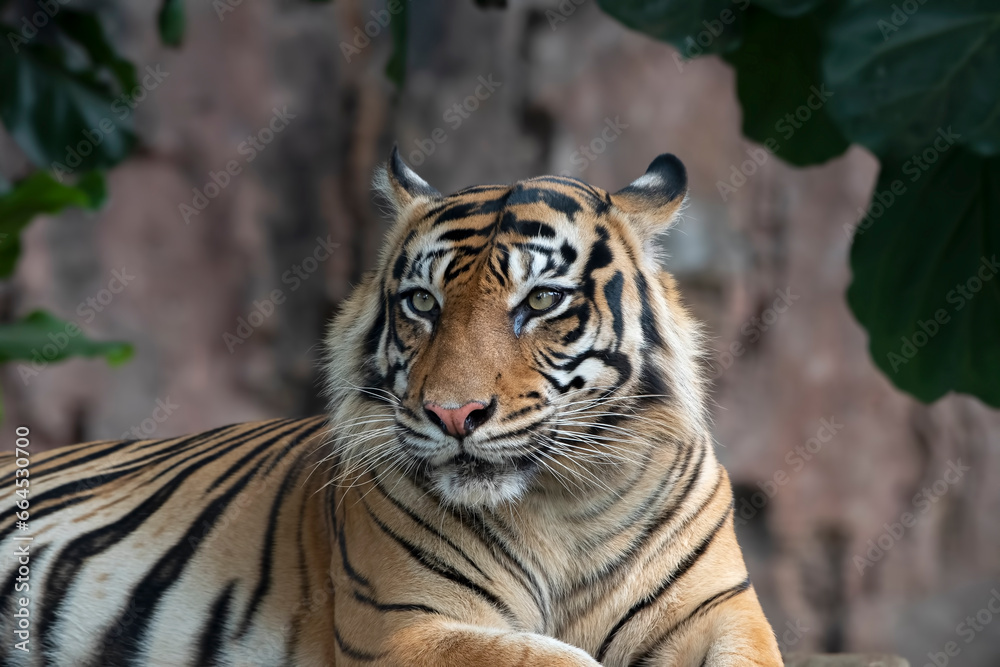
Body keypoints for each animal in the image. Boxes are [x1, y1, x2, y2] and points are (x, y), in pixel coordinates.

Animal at [0, 148, 782, 666]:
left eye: (540, 301)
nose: (454, 415)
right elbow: (554, 658)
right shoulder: (406, 626)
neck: (565, 507)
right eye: (423, 304)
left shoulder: (720, 614)